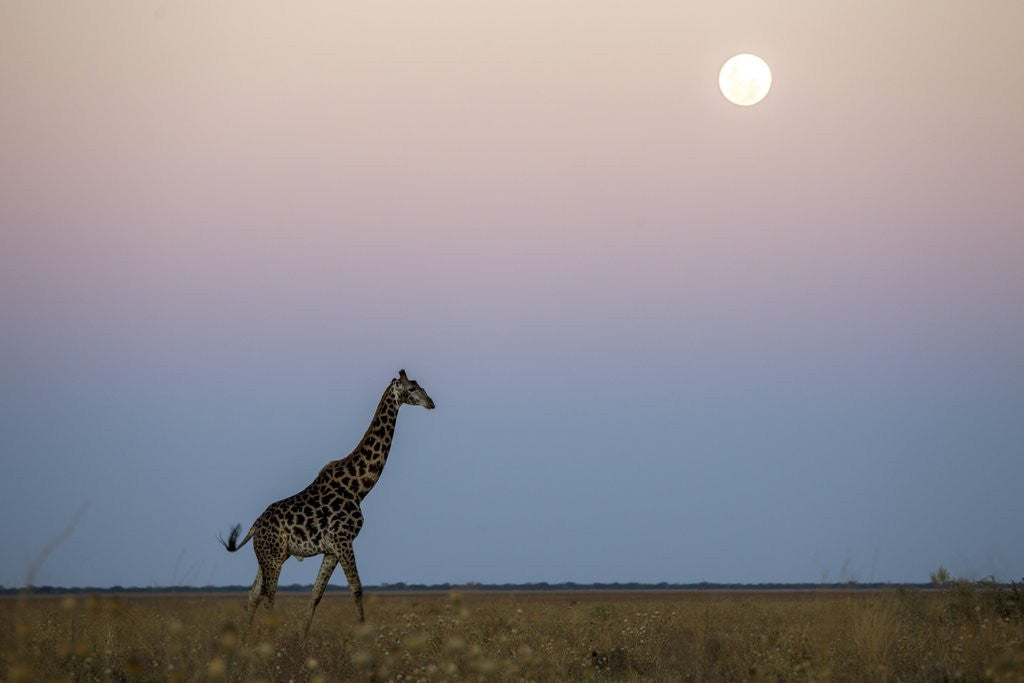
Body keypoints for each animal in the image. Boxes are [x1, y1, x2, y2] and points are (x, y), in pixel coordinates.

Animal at [220, 370, 435, 633]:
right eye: (412, 388)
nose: (431, 403)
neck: (359, 487)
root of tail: (253, 527)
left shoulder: (331, 549)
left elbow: (316, 595)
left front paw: (303, 637)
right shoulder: (343, 540)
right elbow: (357, 588)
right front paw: (364, 634)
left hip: (270, 555)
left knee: (253, 595)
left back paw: (246, 638)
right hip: (273, 556)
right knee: (268, 595)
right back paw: (268, 636)